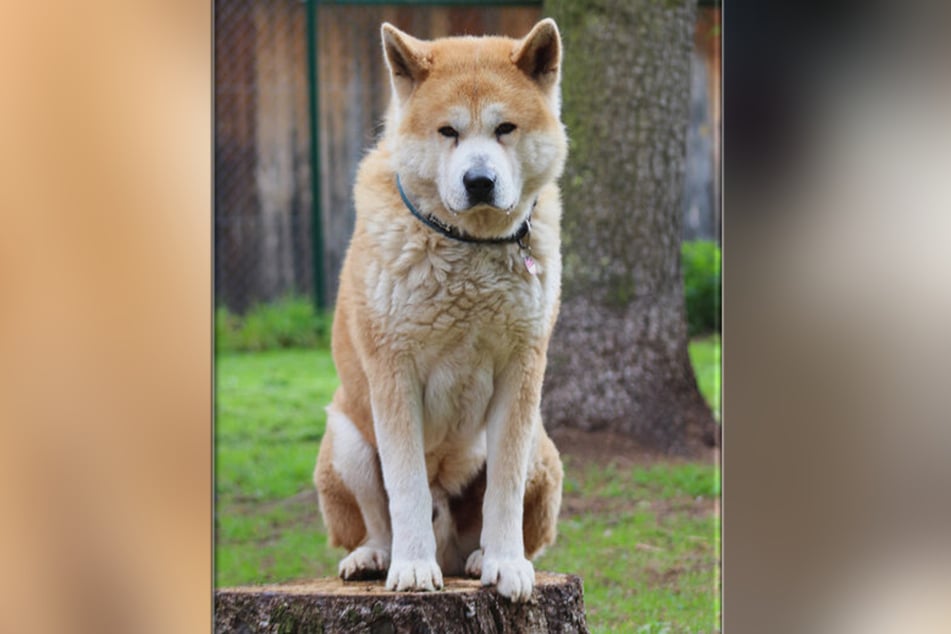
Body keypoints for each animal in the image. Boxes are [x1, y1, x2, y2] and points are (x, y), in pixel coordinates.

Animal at [314, 17, 564, 600]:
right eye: (448, 132)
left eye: (505, 128)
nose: (480, 181)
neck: (469, 246)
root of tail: (447, 547)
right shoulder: (393, 374)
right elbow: (405, 486)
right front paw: (410, 568)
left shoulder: (522, 372)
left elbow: (504, 488)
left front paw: (506, 564)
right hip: (346, 438)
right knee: (377, 520)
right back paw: (377, 557)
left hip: (542, 443)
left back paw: (477, 558)